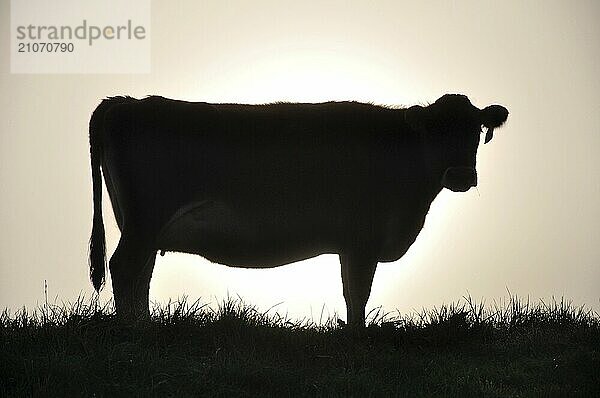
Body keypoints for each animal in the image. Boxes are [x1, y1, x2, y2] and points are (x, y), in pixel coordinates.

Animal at [88, 94, 506, 326]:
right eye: (435, 130)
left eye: (475, 130)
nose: (460, 175)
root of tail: (125, 102)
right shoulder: (362, 239)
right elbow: (357, 292)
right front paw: (357, 336)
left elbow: (354, 292)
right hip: (145, 219)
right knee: (124, 267)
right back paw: (132, 330)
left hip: (142, 226)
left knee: (140, 274)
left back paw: (144, 325)